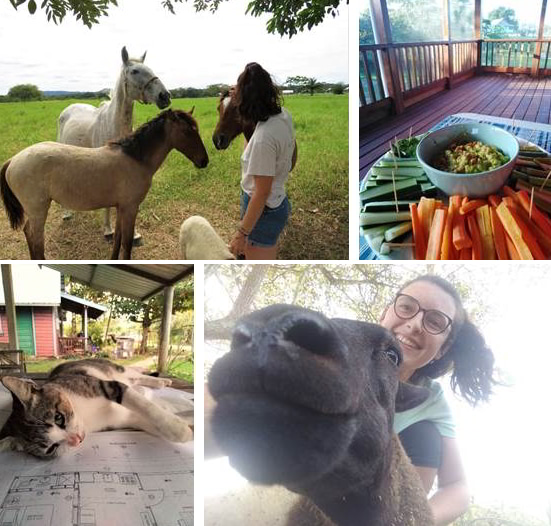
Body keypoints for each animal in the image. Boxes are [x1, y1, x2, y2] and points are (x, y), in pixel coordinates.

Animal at [0, 360, 194, 460]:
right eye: (51, 448)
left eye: (58, 418)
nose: (76, 440)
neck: (85, 415)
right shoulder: (121, 420)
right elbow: (144, 421)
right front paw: (186, 425)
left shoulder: (103, 385)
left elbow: (144, 404)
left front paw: (177, 428)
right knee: (136, 380)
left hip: (112, 369)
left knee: (133, 373)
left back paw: (160, 381)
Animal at [57, 46, 171, 243]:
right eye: (135, 71)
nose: (165, 96)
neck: (114, 126)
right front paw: (108, 231)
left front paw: (134, 234)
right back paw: (67, 214)